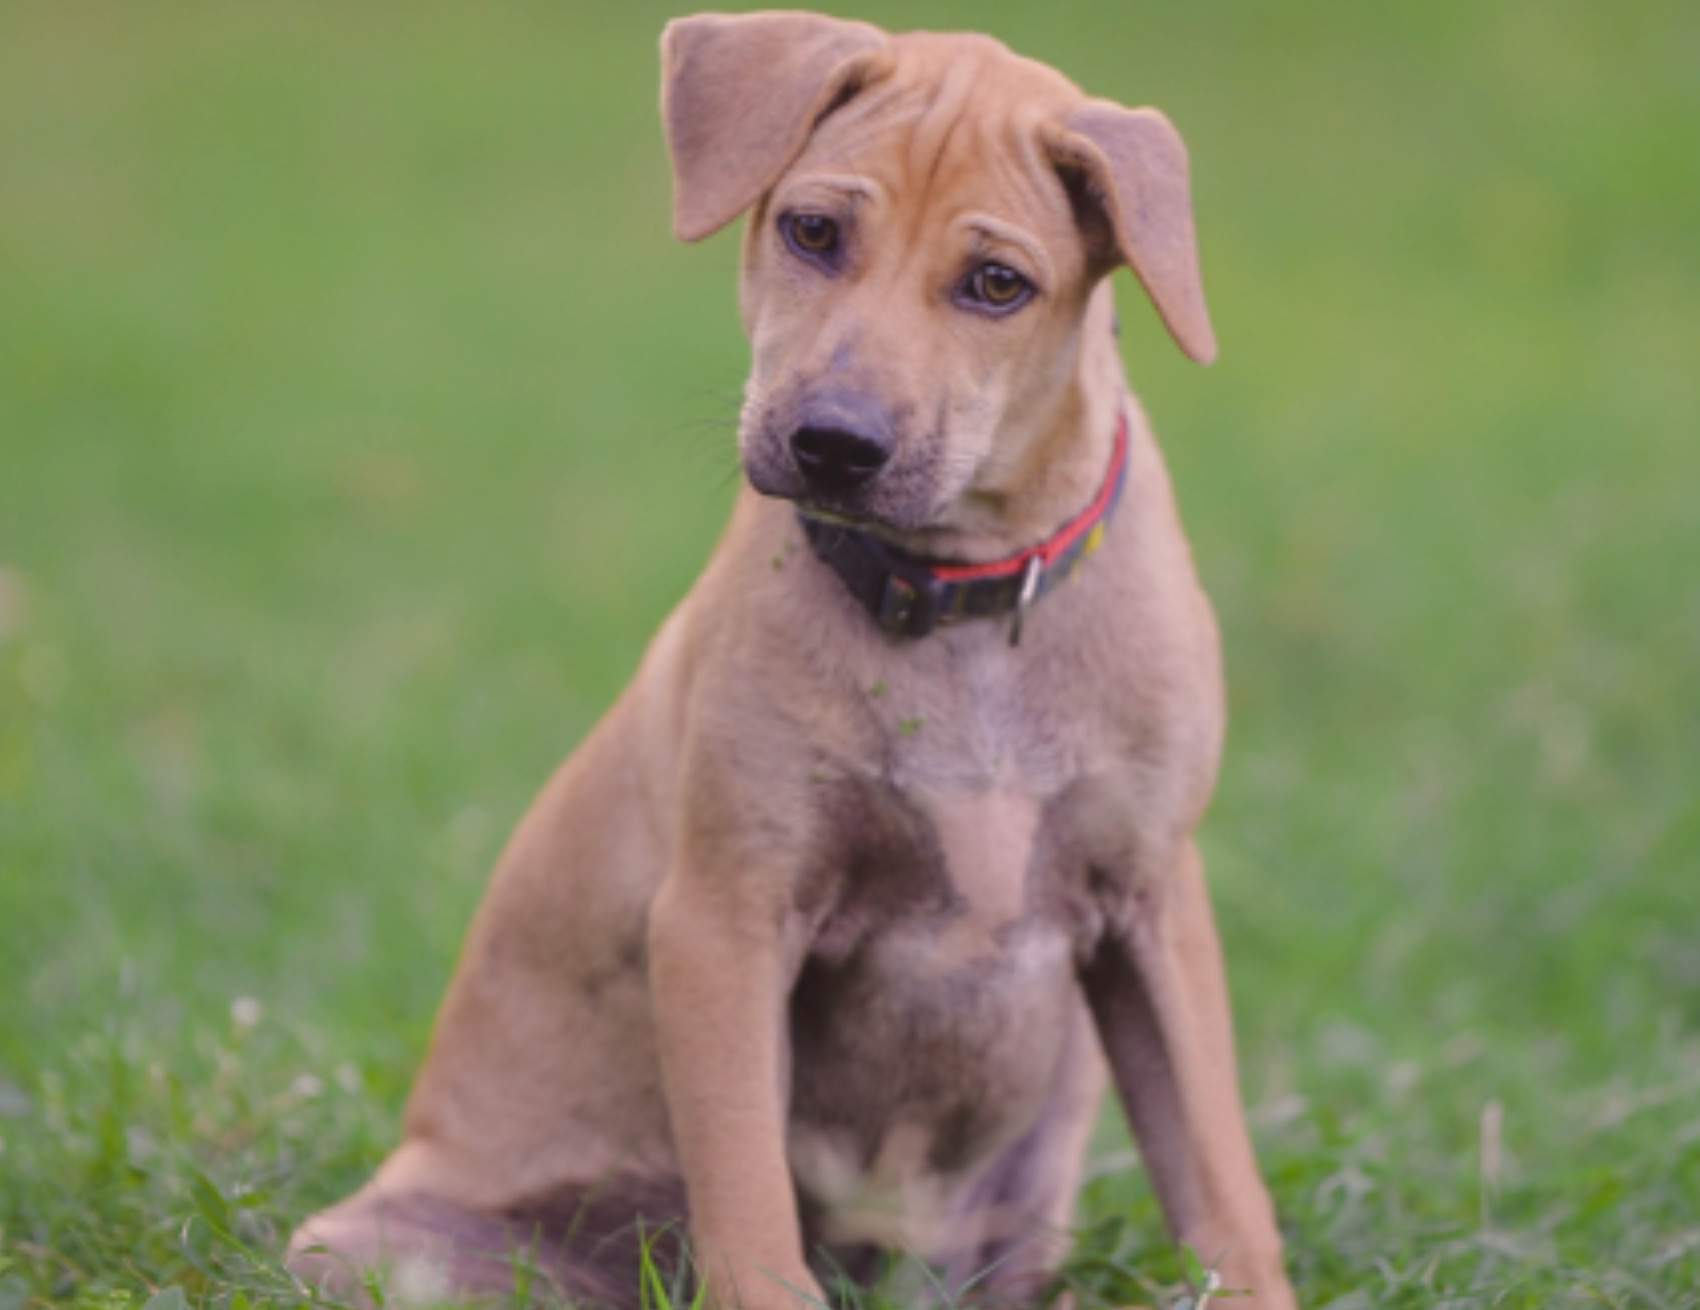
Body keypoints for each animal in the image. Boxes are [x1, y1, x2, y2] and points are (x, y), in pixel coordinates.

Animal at [289, 12, 1298, 1310]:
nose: (833, 443)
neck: (957, 605)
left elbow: (1219, 1182)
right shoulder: (724, 915)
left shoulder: (1154, 904)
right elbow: (750, 1206)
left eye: (996, 284)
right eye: (812, 231)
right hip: (383, 1246)